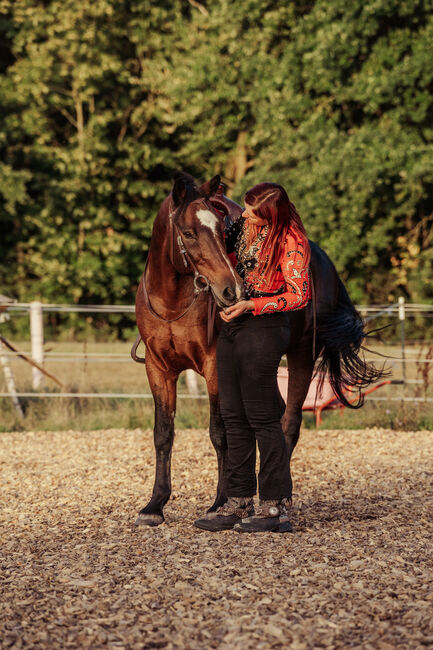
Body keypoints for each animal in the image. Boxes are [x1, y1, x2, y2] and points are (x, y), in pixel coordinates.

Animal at [132, 171, 382, 528]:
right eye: (189, 233)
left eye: (220, 230)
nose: (231, 290)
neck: (172, 302)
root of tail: (323, 262)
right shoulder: (158, 368)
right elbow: (163, 433)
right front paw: (154, 505)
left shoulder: (213, 367)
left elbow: (220, 432)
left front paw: (220, 503)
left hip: (302, 356)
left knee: (289, 422)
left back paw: (279, 501)